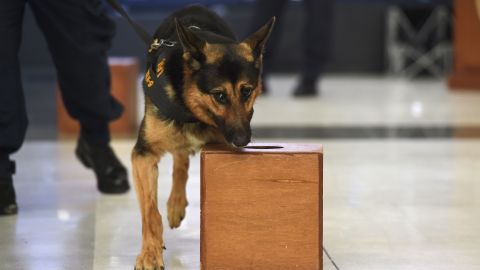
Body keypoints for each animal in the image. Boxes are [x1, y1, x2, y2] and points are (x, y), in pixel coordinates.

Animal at [112, 4, 274, 270]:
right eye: (219, 95)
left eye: (247, 91)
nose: (242, 140)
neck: (191, 111)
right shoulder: (143, 156)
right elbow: (150, 212)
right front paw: (150, 253)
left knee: (181, 162)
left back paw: (176, 203)